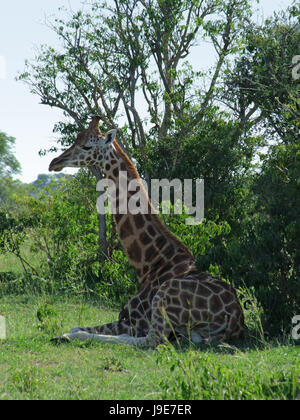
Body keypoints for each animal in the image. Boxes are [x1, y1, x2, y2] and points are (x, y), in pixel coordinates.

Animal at [48, 115, 243, 348]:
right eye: (76, 139)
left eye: (87, 145)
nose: (54, 162)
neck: (149, 265)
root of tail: (235, 320)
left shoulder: (136, 320)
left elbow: (78, 327)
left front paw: (66, 334)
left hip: (164, 299)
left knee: (151, 341)